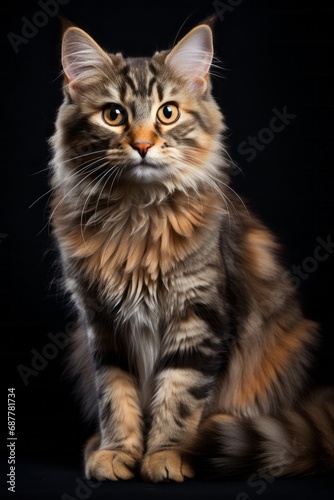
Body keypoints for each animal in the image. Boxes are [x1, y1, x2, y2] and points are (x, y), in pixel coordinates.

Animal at [49, 21, 334, 482]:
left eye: (168, 113)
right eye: (113, 115)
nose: (142, 145)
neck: (137, 215)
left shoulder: (198, 314)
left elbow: (179, 395)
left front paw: (168, 455)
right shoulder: (102, 324)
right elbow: (116, 396)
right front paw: (117, 452)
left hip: (289, 345)